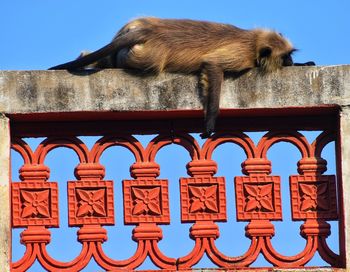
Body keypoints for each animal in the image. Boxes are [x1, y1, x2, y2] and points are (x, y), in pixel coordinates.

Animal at [49, 17, 314, 138]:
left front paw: (305, 64)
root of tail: (147, 29)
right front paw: (210, 123)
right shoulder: (243, 55)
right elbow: (213, 65)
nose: (291, 63)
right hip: (145, 55)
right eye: (284, 58)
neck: (254, 41)